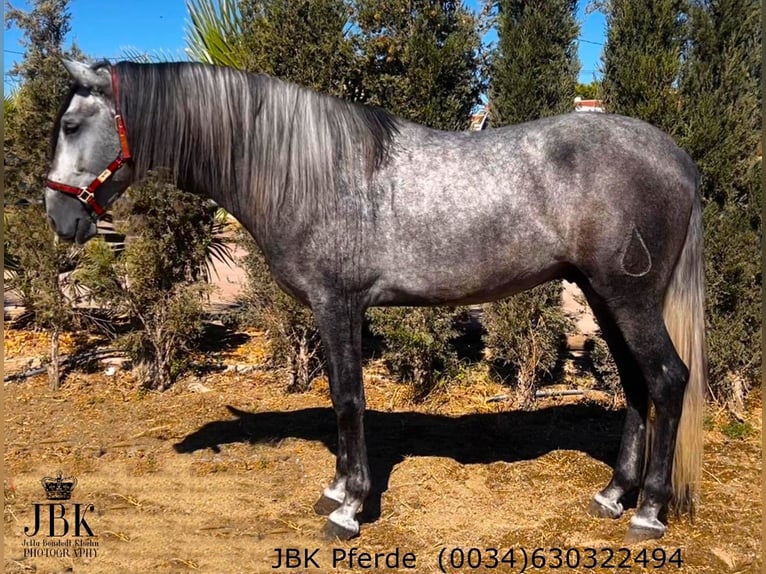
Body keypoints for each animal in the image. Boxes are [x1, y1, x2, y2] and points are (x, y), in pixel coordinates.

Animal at [45, 59, 706, 543]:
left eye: (72, 126)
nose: (58, 217)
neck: (306, 171)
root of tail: (677, 157)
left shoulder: (337, 304)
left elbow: (347, 400)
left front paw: (350, 509)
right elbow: (342, 399)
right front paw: (336, 491)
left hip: (629, 297)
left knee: (668, 380)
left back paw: (648, 514)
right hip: (602, 295)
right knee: (635, 385)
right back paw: (612, 496)